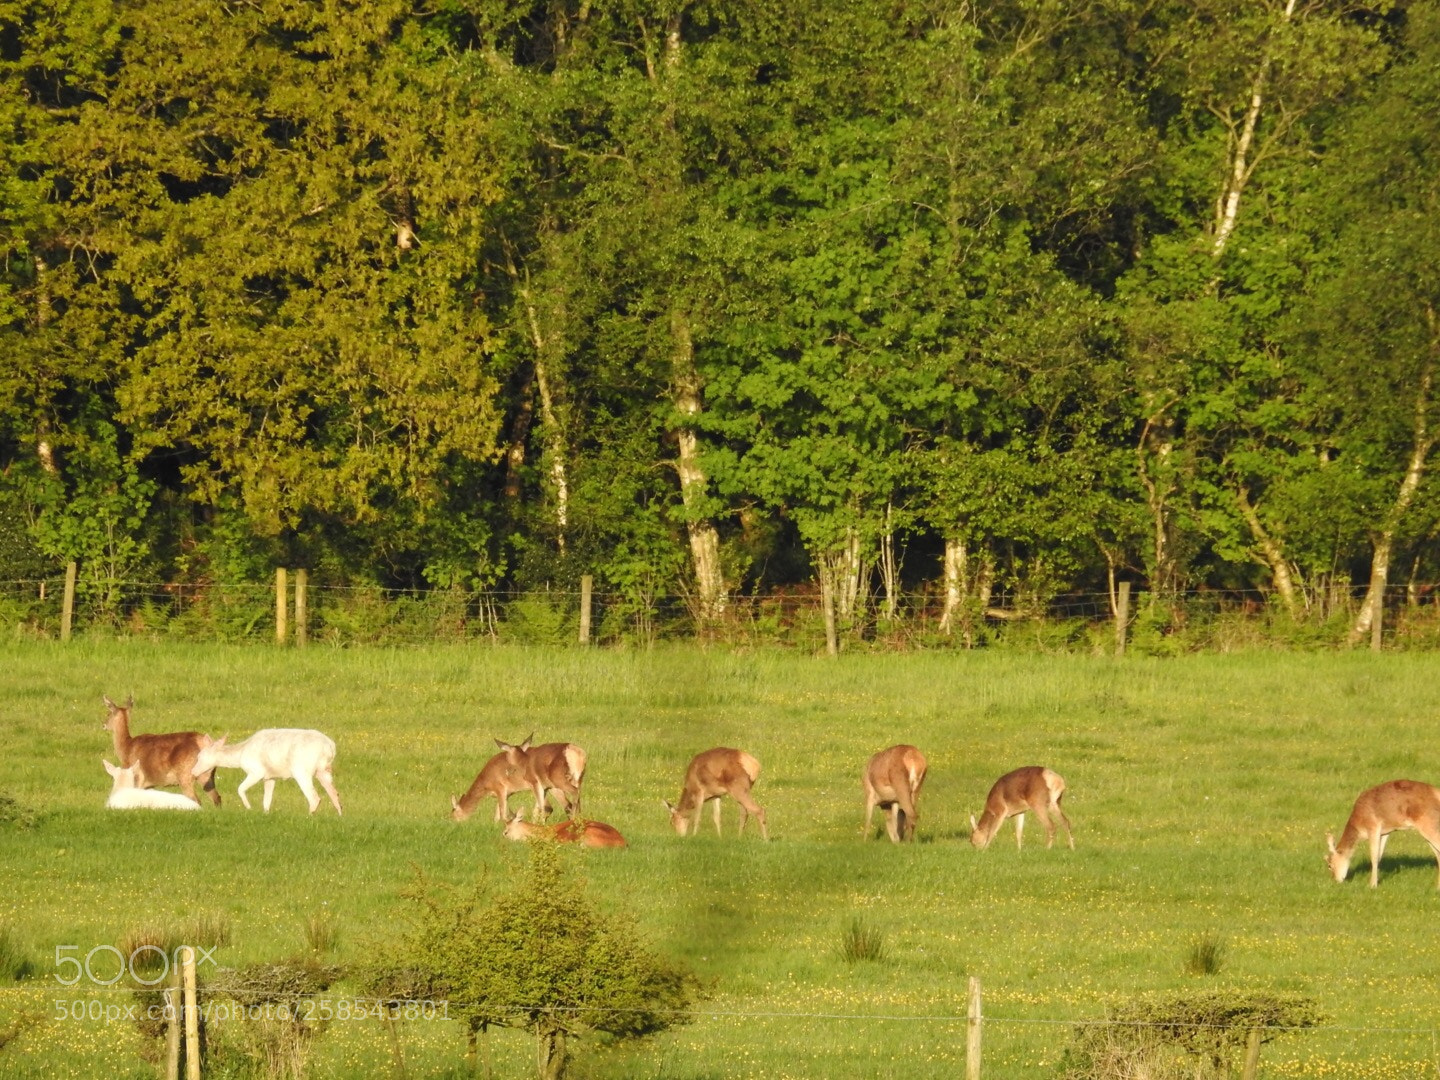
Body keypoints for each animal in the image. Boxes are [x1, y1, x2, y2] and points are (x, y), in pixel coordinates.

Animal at [190, 729, 342, 815]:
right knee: (334, 793)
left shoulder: (256, 771)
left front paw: (249, 807)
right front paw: (265, 813)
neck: (240, 755)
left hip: (302, 770)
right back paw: (340, 815)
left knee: (315, 797)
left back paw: (309, 816)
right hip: (323, 771)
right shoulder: (270, 777)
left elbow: (240, 788)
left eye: (199, 756)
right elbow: (266, 800)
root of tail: (330, 747)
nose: (193, 772)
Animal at [449, 735, 586, 823]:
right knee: (568, 803)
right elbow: (498, 815)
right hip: (570, 781)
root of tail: (577, 753)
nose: (452, 822)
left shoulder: (500, 788)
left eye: (454, 812)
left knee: (562, 802)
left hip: (556, 782)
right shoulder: (507, 793)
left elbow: (503, 815)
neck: (486, 783)